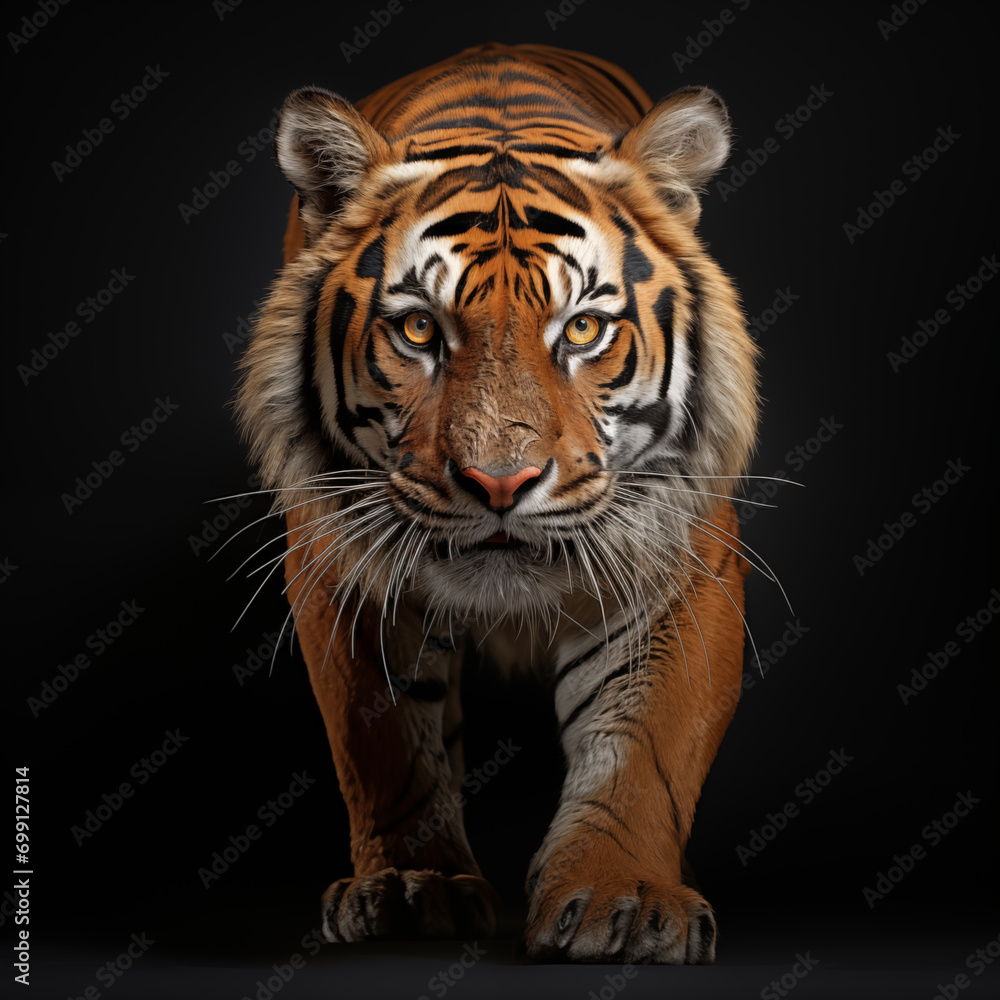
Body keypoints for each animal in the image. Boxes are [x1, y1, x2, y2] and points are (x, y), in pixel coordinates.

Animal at [235, 41, 759, 964]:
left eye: (582, 329)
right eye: (418, 330)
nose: (500, 483)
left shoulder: (682, 568)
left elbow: (644, 749)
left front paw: (622, 899)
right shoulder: (340, 568)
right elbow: (385, 745)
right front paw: (412, 887)